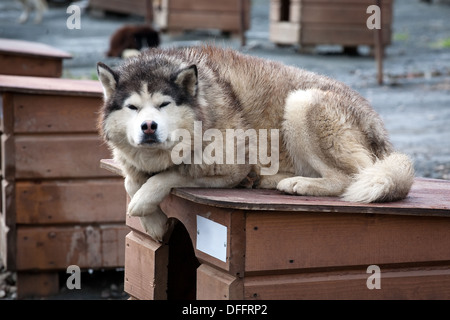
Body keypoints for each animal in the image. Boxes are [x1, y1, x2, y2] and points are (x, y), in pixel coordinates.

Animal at [97, 44, 414, 240]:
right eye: (133, 108)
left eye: (164, 104)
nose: (148, 127)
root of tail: (377, 124)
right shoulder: (130, 162)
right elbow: (130, 181)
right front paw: (153, 220)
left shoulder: (230, 168)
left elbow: (170, 175)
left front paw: (144, 204)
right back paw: (269, 179)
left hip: (301, 102)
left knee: (350, 177)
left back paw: (300, 184)